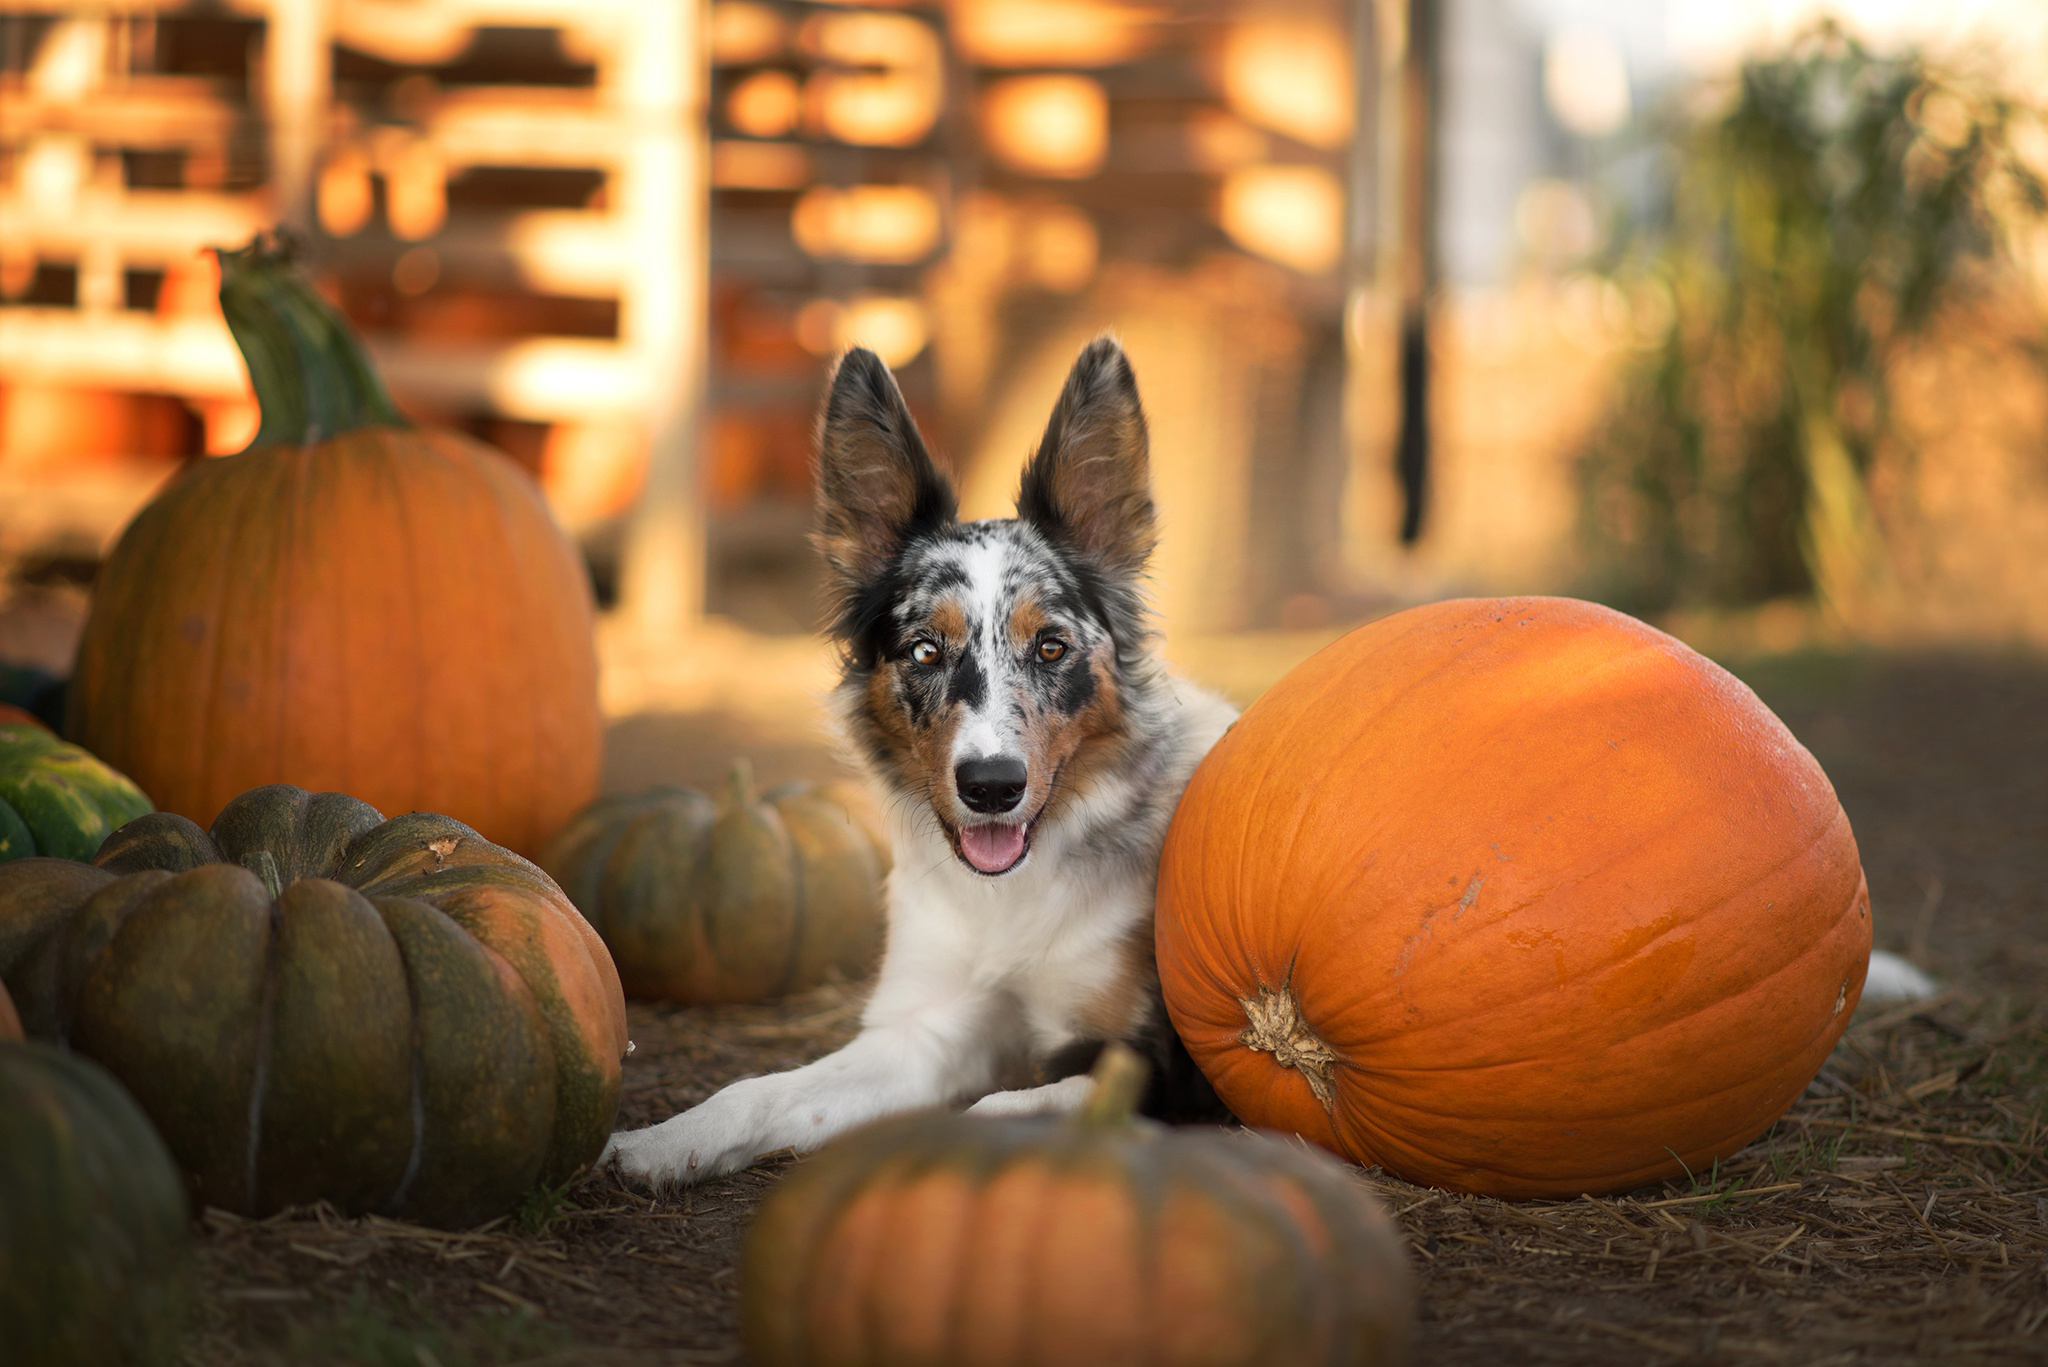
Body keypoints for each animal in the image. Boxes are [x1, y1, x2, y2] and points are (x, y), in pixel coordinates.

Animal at [598, 336, 1236, 1188]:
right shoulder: (921, 1030)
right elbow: (759, 1089)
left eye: (1052, 646)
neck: (1011, 897)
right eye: (925, 650)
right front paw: (663, 1140)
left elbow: (999, 1107)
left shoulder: (1151, 1064)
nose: (993, 787)